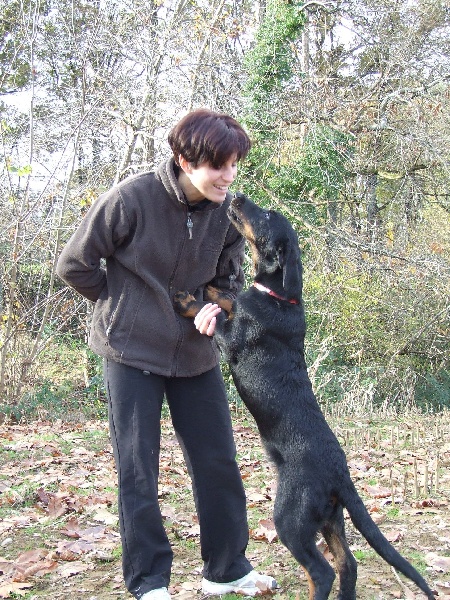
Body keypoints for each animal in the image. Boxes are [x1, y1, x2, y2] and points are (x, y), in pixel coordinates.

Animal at [173, 193, 436, 600]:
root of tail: (340, 474)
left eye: (267, 215)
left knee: (322, 570)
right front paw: (217, 290)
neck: (281, 298)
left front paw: (189, 298)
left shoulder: (232, 343)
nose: (237, 196)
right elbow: (230, 299)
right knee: (348, 564)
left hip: (291, 517)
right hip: (330, 517)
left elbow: (211, 315)